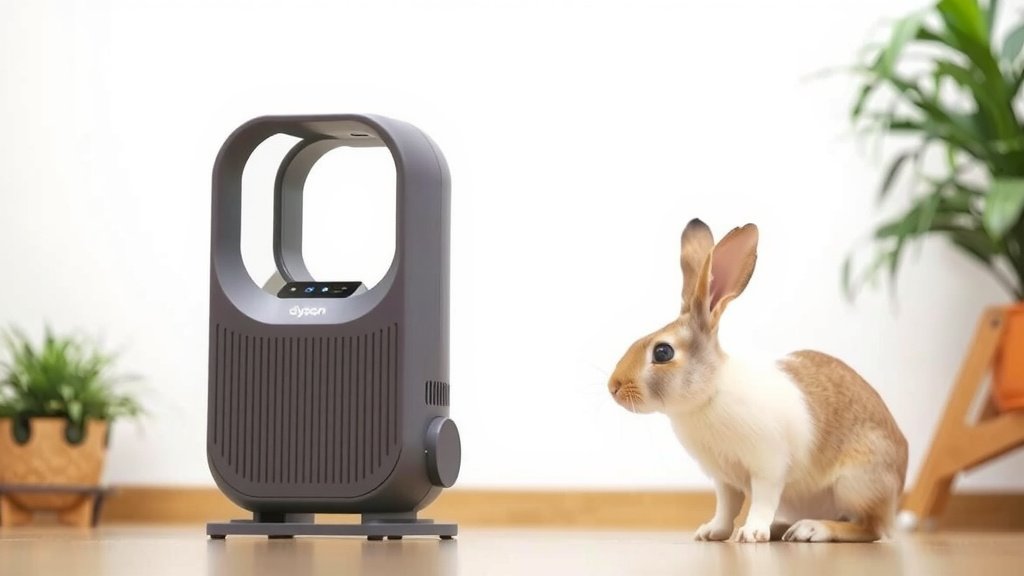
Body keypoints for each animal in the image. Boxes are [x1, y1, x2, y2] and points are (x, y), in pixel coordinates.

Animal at [607, 218, 908, 543]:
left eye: (663, 352)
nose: (614, 386)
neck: (710, 394)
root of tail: (897, 489)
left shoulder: (768, 468)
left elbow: (762, 501)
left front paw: (751, 534)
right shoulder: (723, 479)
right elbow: (726, 507)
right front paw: (711, 532)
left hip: (856, 483)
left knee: (869, 527)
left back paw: (810, 529)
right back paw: (783, 529)